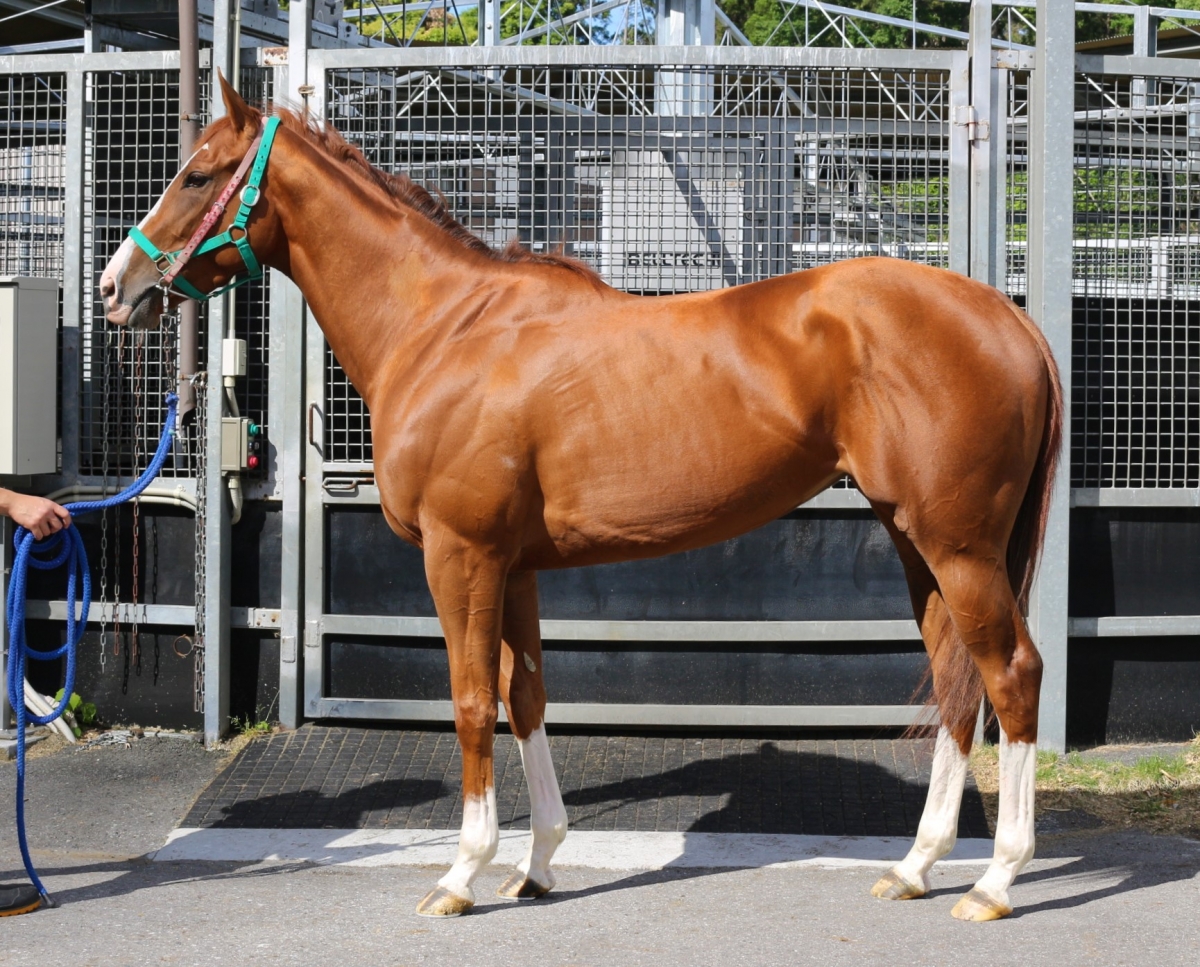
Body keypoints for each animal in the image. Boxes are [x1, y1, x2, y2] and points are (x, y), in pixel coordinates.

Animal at [100, 76, 1062, 922]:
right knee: (957, 682)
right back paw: (915, 866)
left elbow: (468, 702)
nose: (117, 287)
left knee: (1011, 673)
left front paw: (461, 874)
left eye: (196, 174)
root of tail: (1010, 318)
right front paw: (536, 864)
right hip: (917, 541)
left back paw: (994, 881)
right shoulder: (515, 565)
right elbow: (525, 695)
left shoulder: (461, 556)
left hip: (958, 546)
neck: (445, 326)